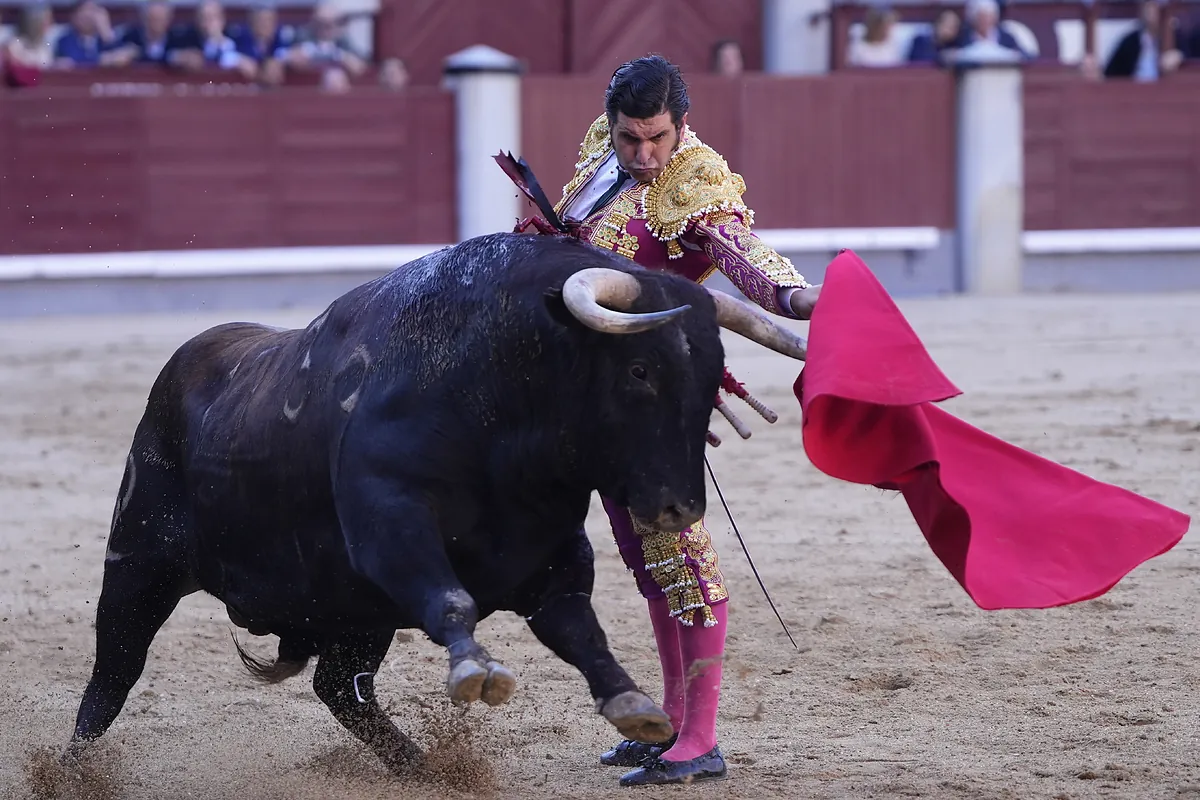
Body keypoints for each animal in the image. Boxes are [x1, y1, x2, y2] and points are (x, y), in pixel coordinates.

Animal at [70, 232, 811, 777]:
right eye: (639, 371)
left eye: (713, 378)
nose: (677, 509)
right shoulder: (390, 525)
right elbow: (450, 599)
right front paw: (475, 671)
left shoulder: (550, 557)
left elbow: (581, 631)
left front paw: (635, 706)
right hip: (137, 560)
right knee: (114, 673)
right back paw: (73, 768)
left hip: (354, 612)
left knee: (341, 689)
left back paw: (419, 766)